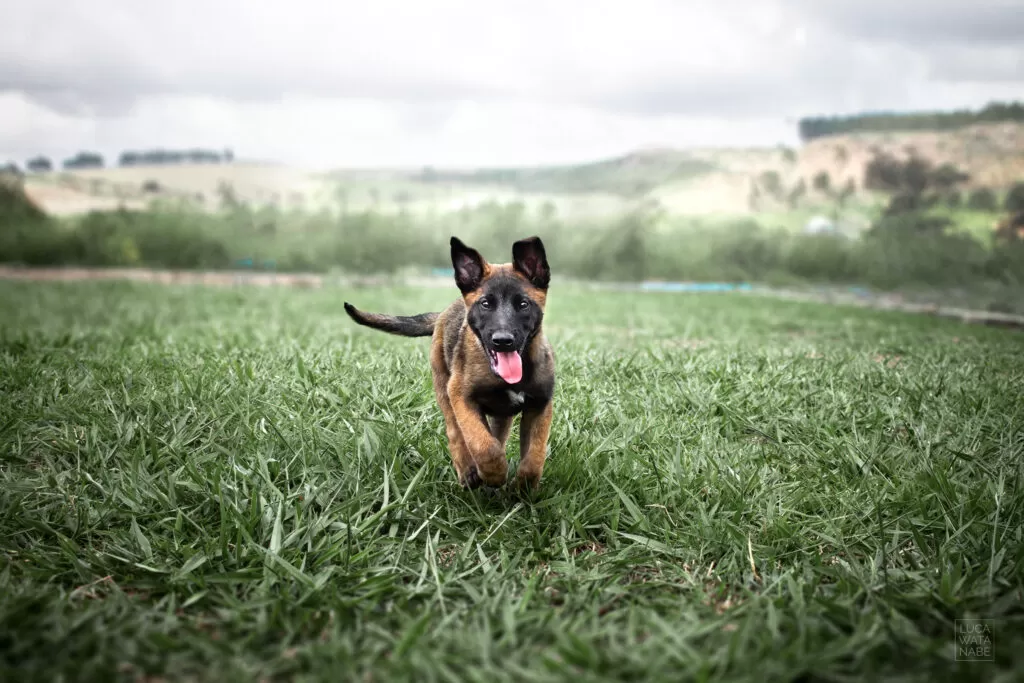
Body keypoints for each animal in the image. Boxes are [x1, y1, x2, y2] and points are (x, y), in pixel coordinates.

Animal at [344, 237, 557, 489]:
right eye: (485, 304)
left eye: (523, 304)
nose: (503, 341)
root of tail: (445, 312)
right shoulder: (461, 397)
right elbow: (483, 445)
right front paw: (494, 474)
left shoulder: (540, 405)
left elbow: (534, 455)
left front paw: (523, 487)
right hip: (443, 389)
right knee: (456, 433)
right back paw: (468, 472)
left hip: (499, 412)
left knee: (498, 433)